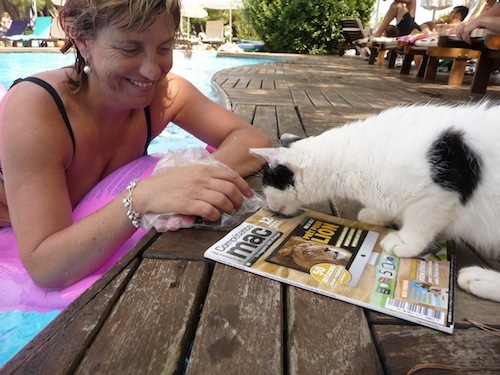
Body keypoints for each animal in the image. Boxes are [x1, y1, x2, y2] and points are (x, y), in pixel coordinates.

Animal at [252, 102, 500, 302]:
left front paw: (405, 242)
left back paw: (481, 280)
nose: (268, 208)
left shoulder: (439, 196)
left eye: (266, 185)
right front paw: (377, 215)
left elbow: (420, 224)